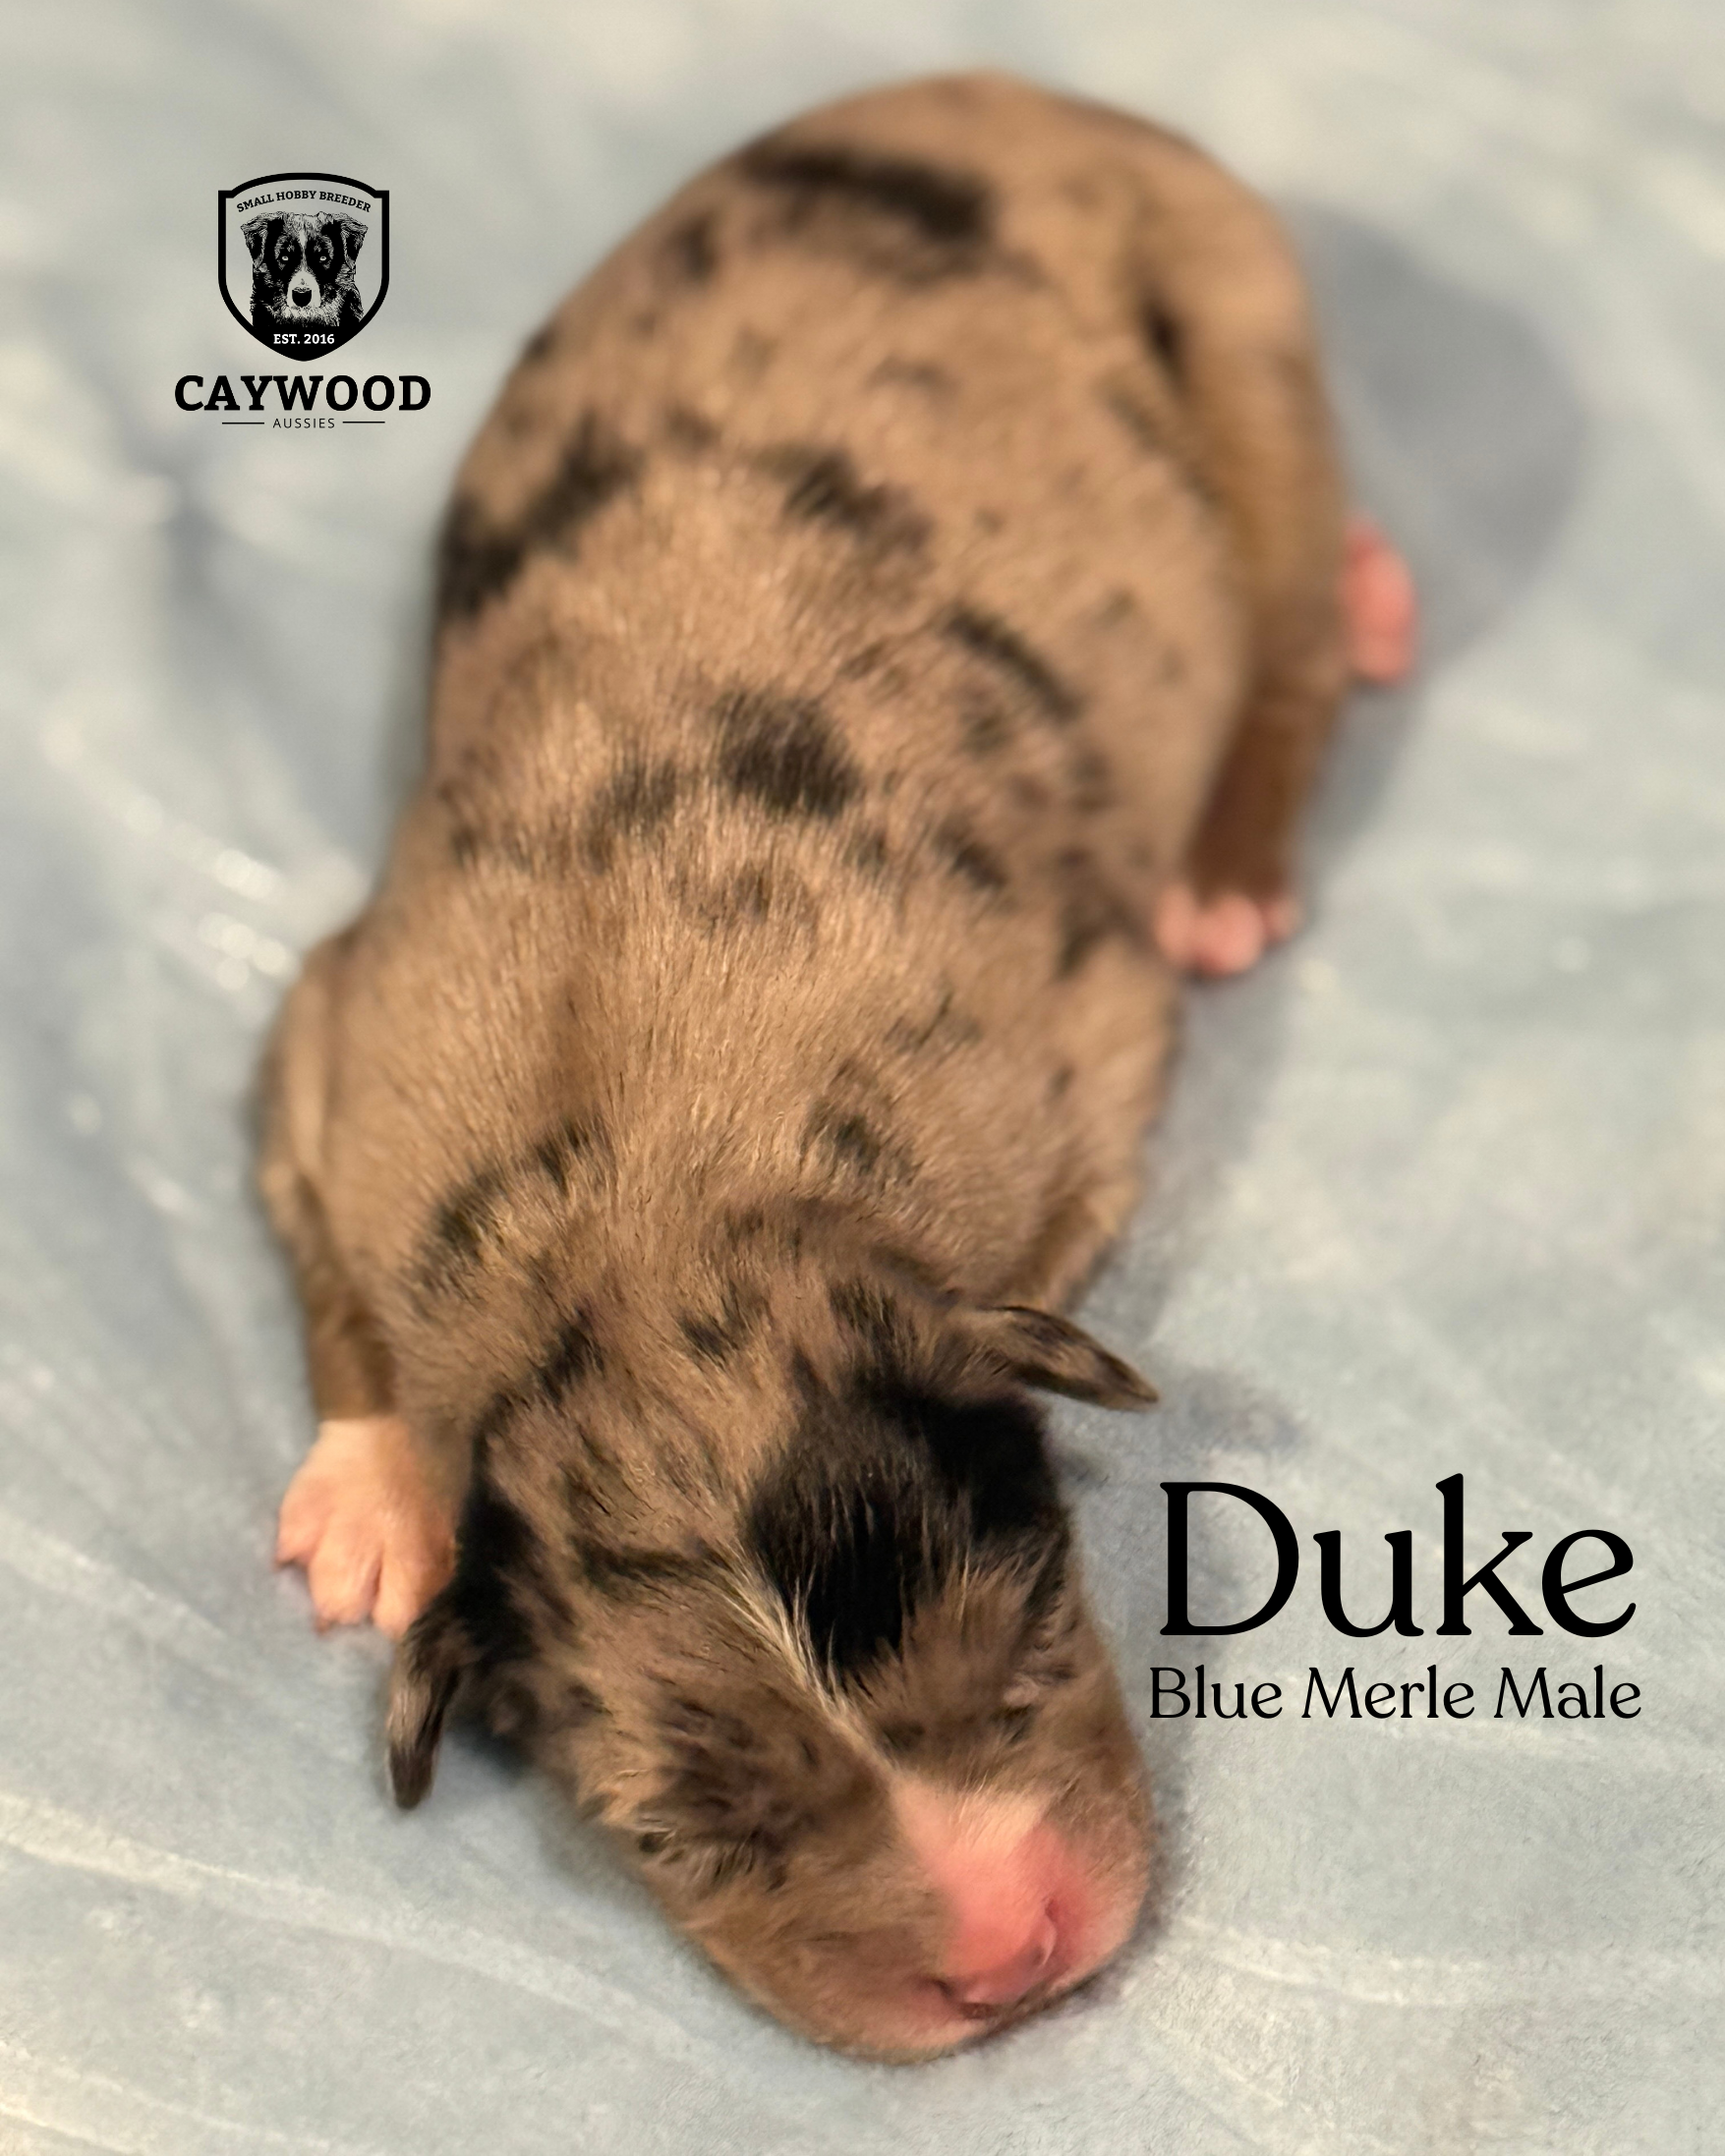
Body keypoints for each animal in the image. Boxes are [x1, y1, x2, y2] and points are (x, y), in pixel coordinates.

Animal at [260, 70, 1414, 2060]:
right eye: (678, 1831)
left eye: (1037, 1634)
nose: (1011, 1955)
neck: (624, 1203)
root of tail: (1022, 93)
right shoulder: (338, 1040)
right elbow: (321, 1226)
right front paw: (373, 1494)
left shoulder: (1077, 1046)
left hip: (1236, 308)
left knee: (1283, 609)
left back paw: (1272, 780)